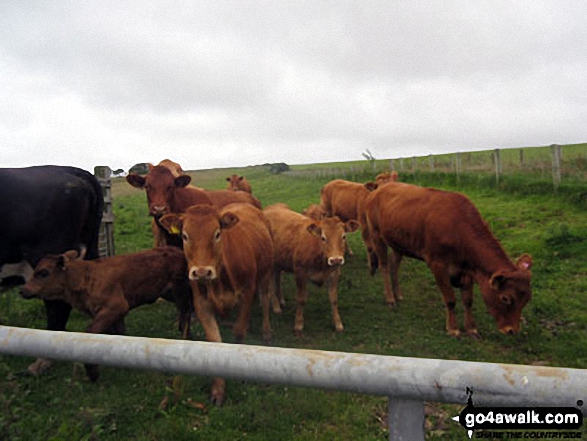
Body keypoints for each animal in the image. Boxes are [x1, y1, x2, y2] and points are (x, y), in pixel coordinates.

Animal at [21, 248, 193, 382]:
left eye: (43, 273)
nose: (23, 290)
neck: (86, 277)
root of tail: (178, 251)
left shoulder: (116, 307)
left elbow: (91, 332)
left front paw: (92, 372)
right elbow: (117, 334)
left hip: (180, 291)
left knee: (186, 314)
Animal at [158, 203, 274, 406]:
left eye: (217, 233)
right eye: (185, 235)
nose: (202, 272)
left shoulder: (246, 294)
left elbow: (239, 331)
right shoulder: (201, 305)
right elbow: (215, 343)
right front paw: (218, 389)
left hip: (266, 274)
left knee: (266, 300)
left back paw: (266, 332)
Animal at [264, 203, 360, 334]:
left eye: (343, 236)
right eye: (323, 238)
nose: (336, 260)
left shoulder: (334, 274)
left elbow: (333, 299)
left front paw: (338, 323)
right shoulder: (300, 273)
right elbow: (301, 299)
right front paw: (298, 324)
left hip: (278, 263)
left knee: (277, 279)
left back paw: (280, 300)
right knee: (270, 285)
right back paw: (276, 306)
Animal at [366, 182, 536, 336]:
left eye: (527, 299)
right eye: (506, 298)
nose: (511, 330)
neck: (458, 229)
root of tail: (380, 187)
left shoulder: (467, 270)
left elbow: (468, 300)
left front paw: (471, 328)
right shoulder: (437, 264)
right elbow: (450, 299)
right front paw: (453, 328)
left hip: (399, 243)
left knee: (394, 266)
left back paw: (398, 294)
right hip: (376, 234)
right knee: (384, 266)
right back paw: (390, 298)